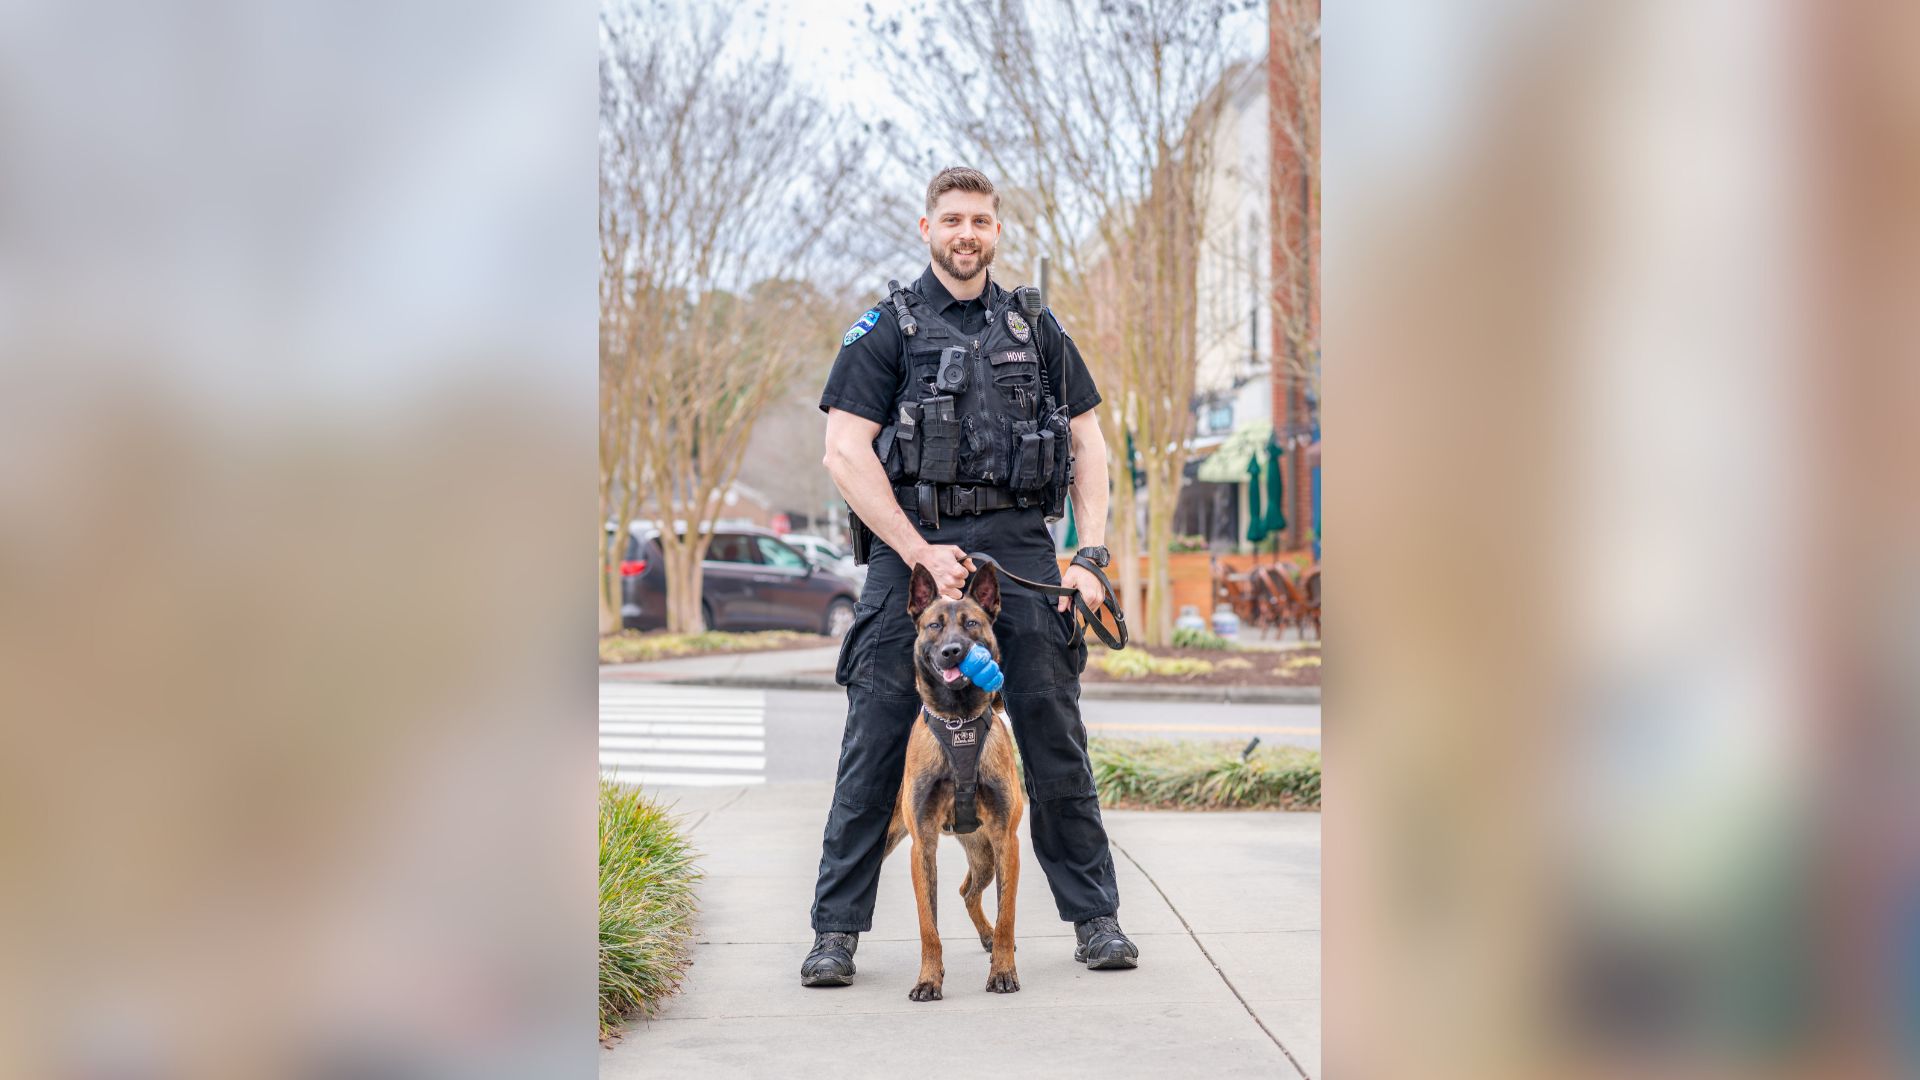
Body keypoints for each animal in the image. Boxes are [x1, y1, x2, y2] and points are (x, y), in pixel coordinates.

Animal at [879, 557, 1021, 999]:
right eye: (934, 626)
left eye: (972, 624)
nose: (952, 651)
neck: (959, 720)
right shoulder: (922, 846)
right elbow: (929, 926)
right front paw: (928, 978)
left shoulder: (1006, 841)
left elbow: (1007, 915)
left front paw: (1003, 971)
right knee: (965, 891)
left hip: (988, 854)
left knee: (969, 892)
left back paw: (990, 939)